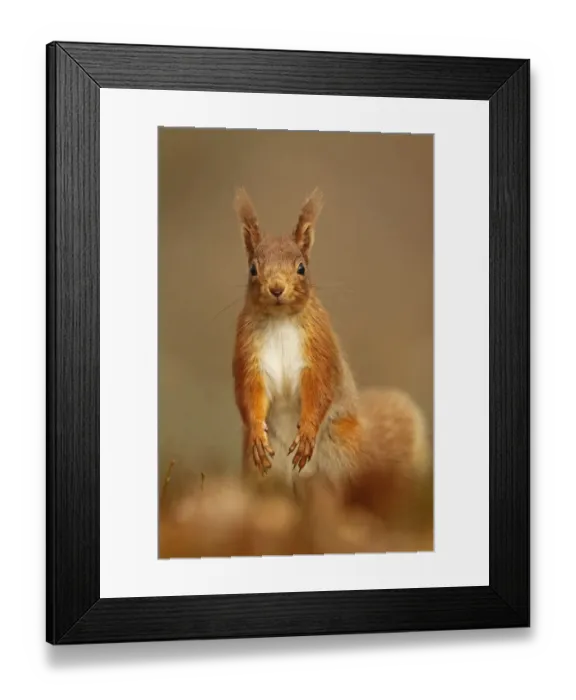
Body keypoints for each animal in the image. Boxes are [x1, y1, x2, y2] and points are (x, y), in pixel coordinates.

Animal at [231, 187, 431, 495]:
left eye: (301, 268)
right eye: (253, 269)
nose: (276, 288)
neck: (280, 319)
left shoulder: (319, 346)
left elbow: (320, 388)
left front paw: (306, 433)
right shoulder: (248, 351)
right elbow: (250, 393)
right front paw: (256, 434)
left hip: (340, 449)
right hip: (263, 473)